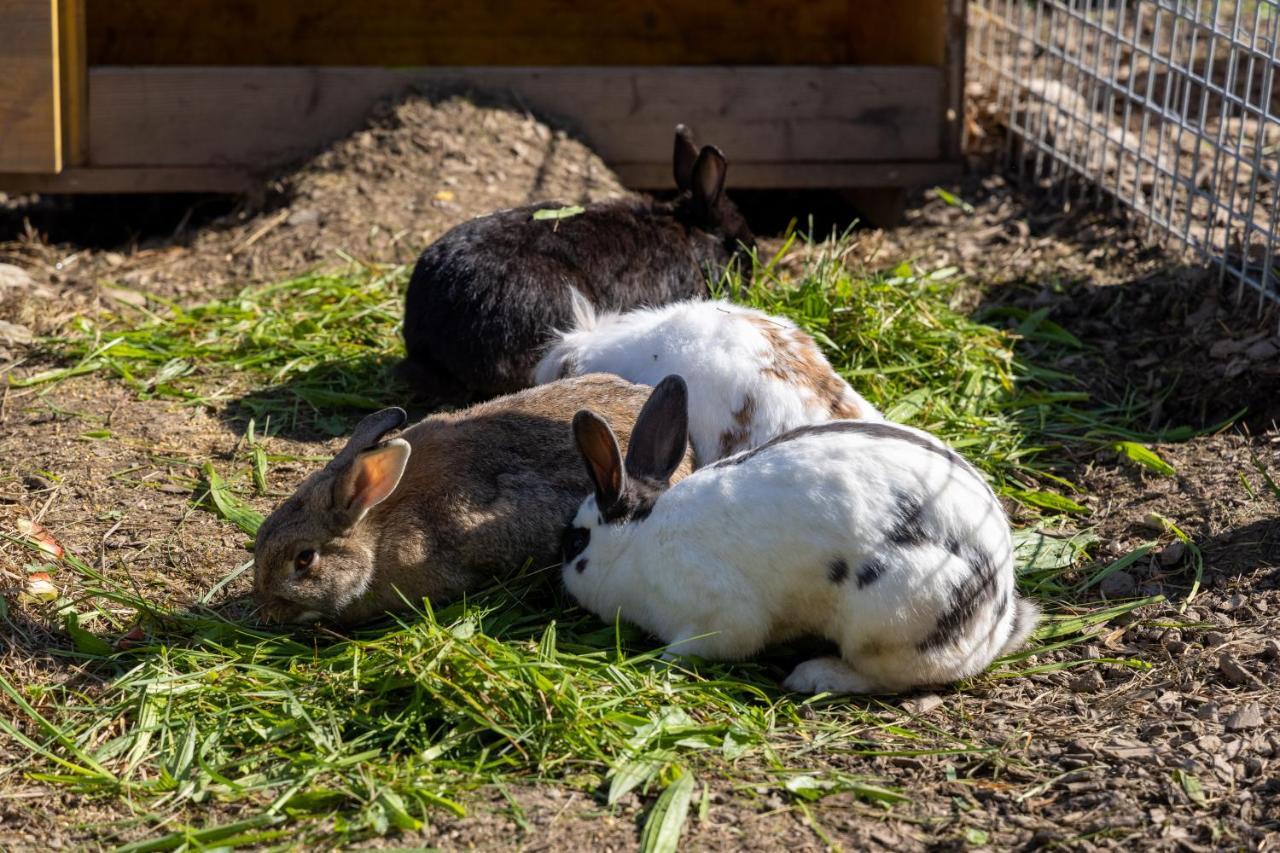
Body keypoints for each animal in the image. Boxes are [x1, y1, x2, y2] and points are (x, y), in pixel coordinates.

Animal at [563, 376, 1039, 696]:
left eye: (578, 542)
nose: (563, 578)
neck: (637, 541)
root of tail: (996, 622)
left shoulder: (716, 613)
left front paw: (660, 661)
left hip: (888, 618)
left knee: (889, 677)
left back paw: (813, 675)